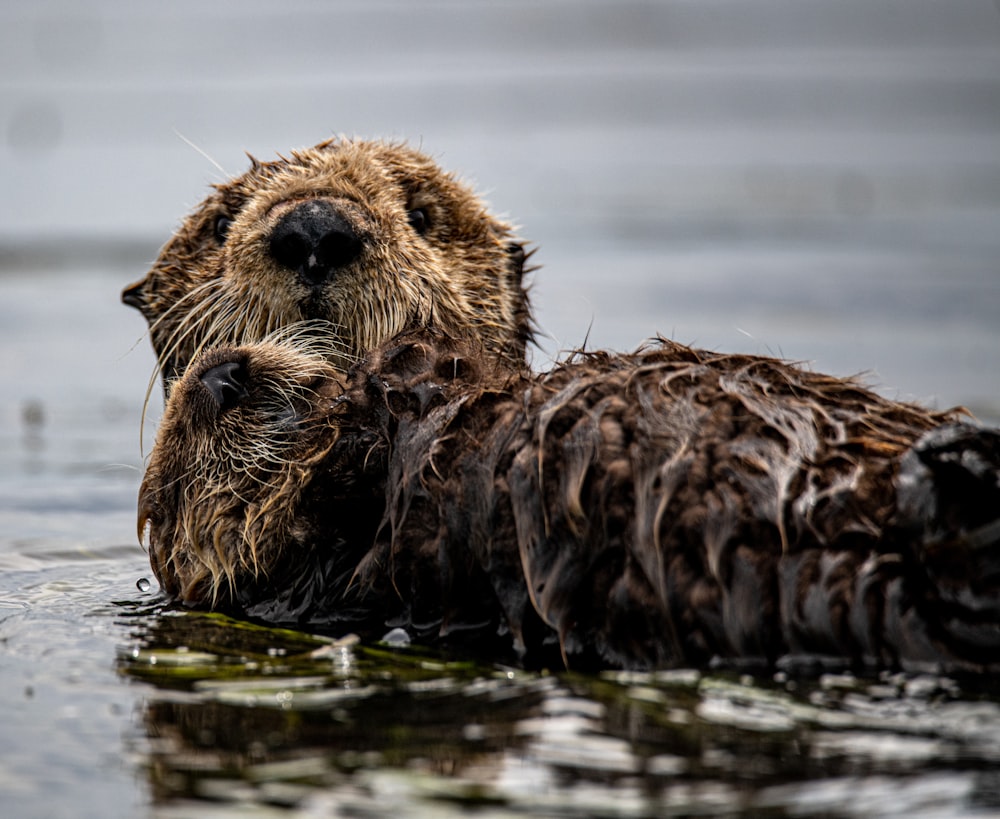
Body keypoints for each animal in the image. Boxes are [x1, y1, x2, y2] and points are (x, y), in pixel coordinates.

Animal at [139, 330, 1000, 676]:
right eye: (173, 487)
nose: (222, 375)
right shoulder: (345, 572)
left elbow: (433, 373)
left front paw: (373, 380)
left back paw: (957, 451)